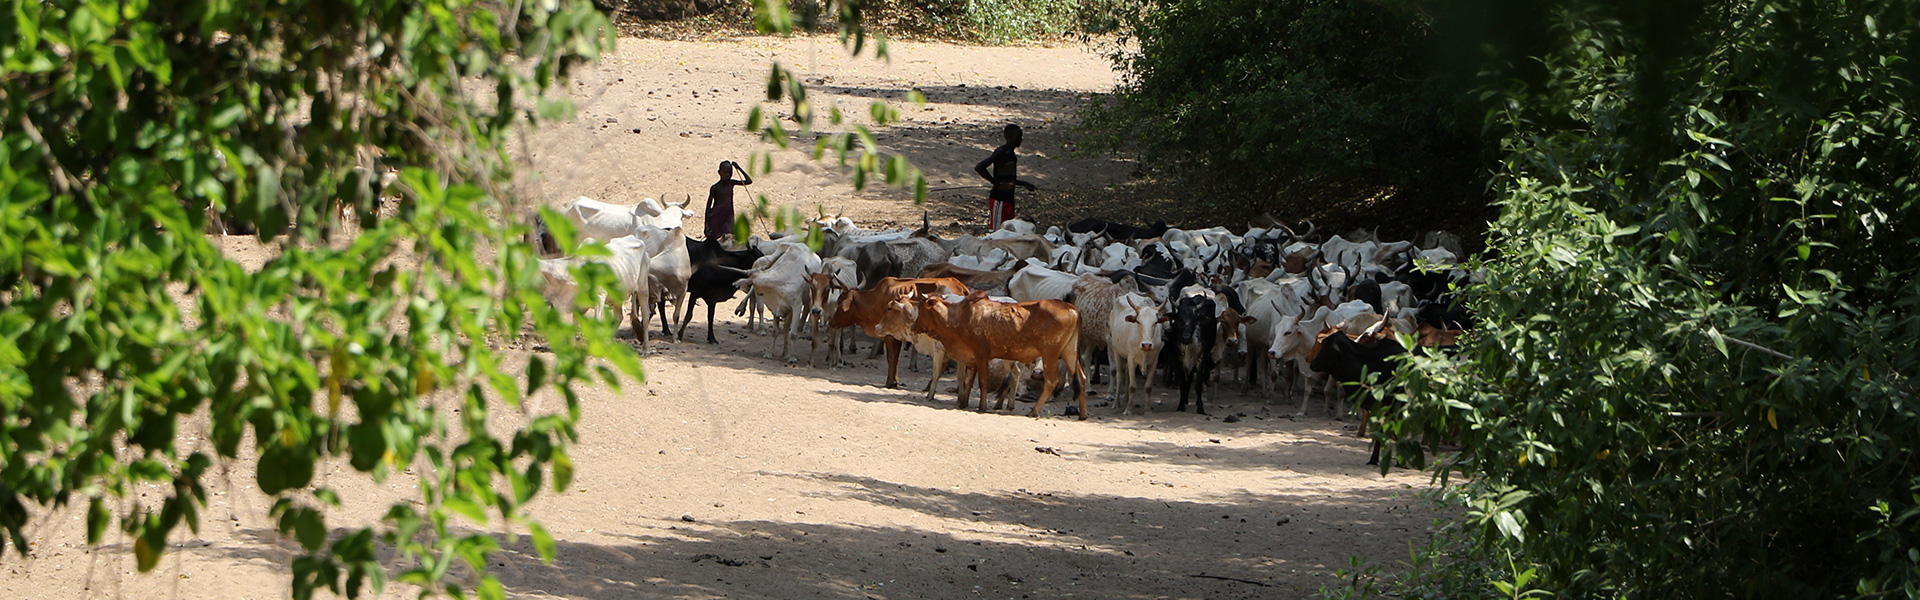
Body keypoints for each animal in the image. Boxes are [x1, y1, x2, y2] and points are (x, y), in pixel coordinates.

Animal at [902, 290, 1082, 417]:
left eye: (922, 306)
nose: (914, 326)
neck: (959, 318)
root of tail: (1071, 308)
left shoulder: (981, 355)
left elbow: (982, 381)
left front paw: (982, 406)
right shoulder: (971, 358)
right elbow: (967, 380)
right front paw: (963, 402)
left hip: (1050, 355)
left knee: (1051, 381)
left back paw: (1033, 411)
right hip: (1070, 353)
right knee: (1082, 379)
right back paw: (1082, 414)